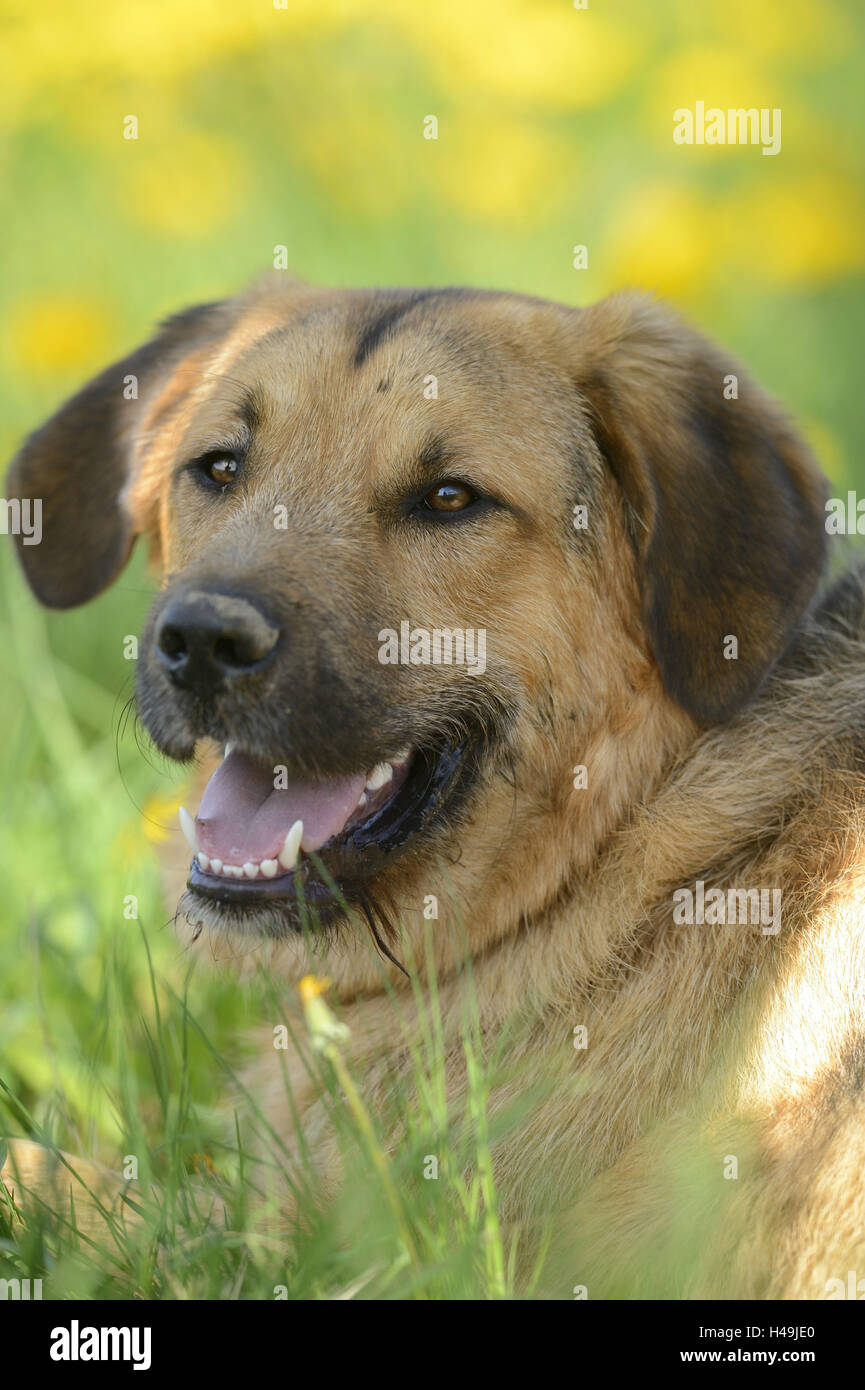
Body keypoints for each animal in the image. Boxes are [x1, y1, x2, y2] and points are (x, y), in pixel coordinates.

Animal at [1, 276, 865, 1295]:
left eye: (449, 498)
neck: (630, 851)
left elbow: (47, 1174)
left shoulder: (339, 1238)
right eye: (218, 467)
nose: (202, 640)